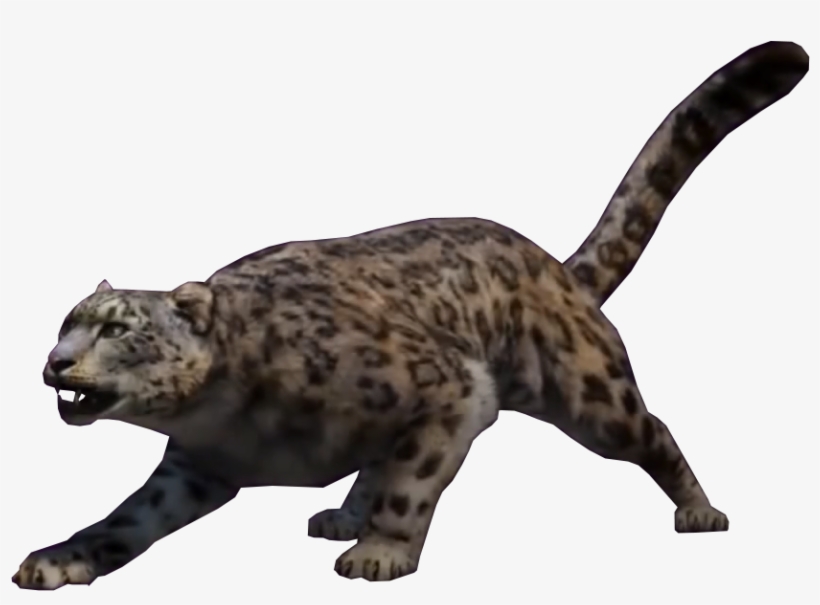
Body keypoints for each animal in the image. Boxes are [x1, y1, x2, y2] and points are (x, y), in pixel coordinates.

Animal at [12, 41, 809, 589]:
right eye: (66, 321)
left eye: (117, 327)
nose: (55, 362)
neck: (230, 416)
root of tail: (551, 267)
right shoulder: (192, 467)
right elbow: (125, 520)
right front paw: (58, 558)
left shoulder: (450, 388)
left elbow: (413, 478)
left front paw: (381, 552)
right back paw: (341, 512)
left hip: (593, 396)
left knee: (655, 431)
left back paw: (699, 510)